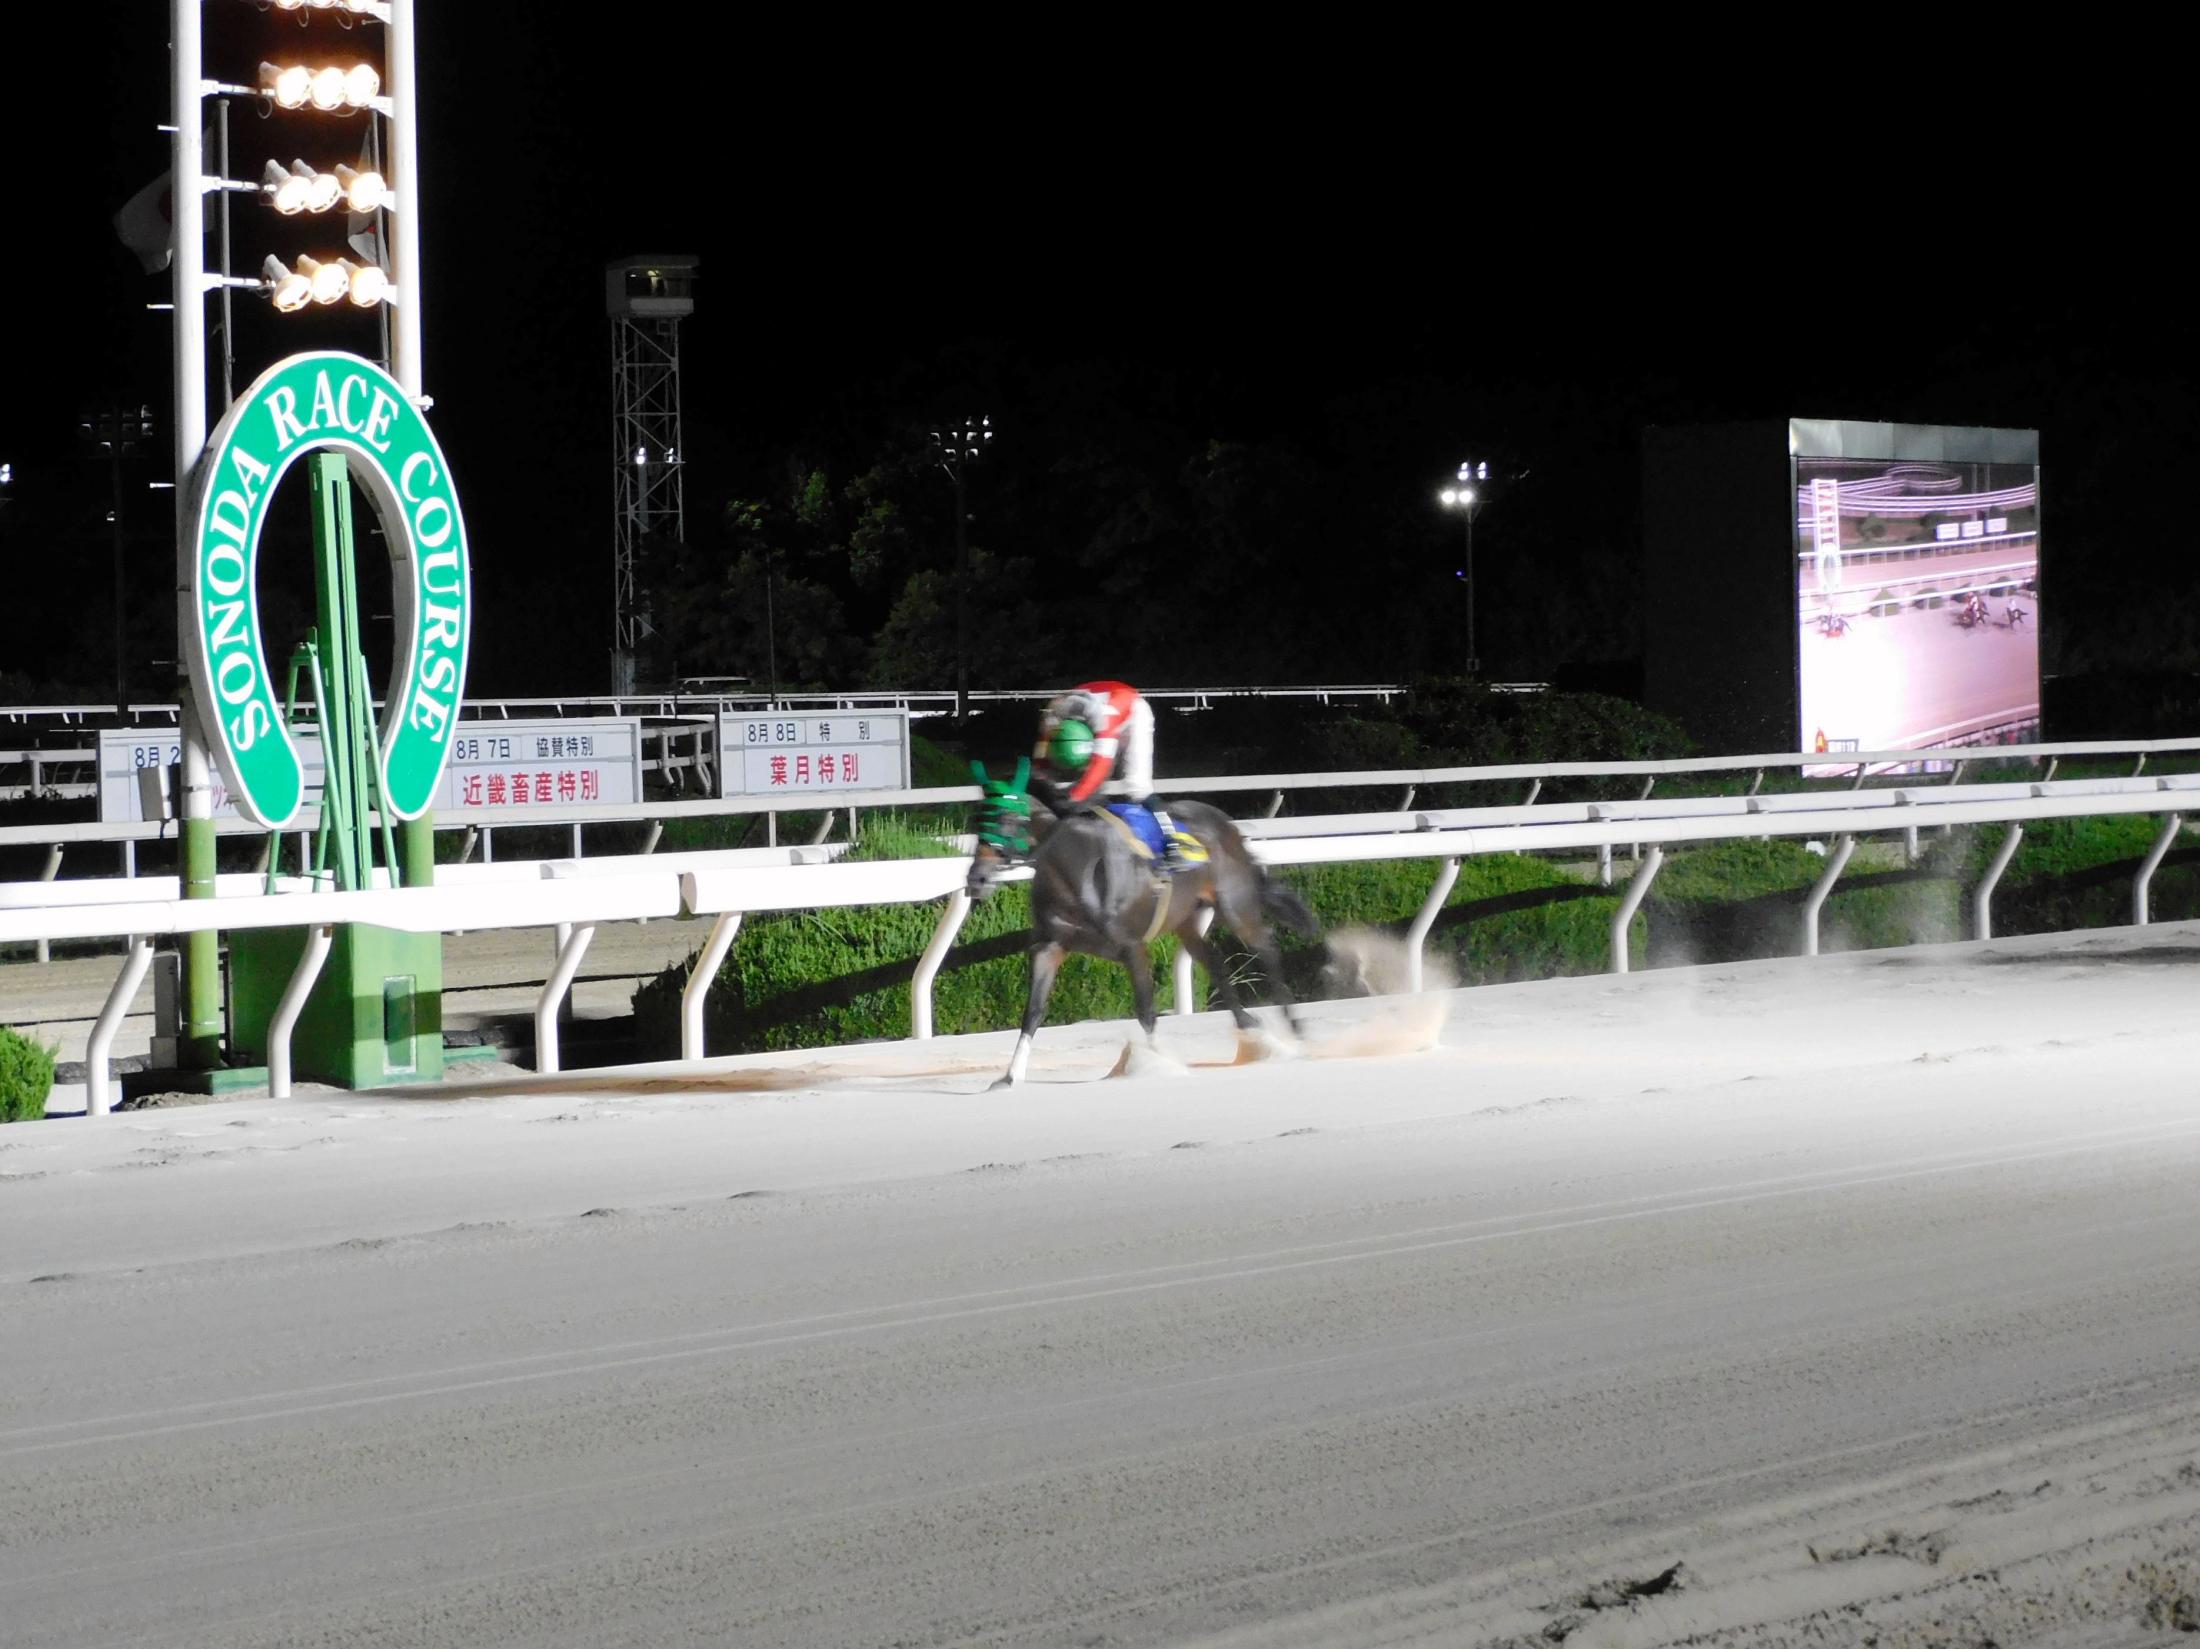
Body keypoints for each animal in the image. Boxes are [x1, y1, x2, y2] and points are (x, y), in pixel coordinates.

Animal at [968, 769, 1311, 1090]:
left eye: (1007, 817)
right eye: (977, 818)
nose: (976, 879)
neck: (1076, 868)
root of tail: (1227, 824)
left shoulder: (1133, 947)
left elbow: (1146, 1010)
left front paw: (1163, 1064)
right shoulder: (1049, 947)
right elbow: (1033, 1012)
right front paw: (1009, 1077)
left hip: (1235, 906)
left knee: (1266, 946)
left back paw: (1294, 1032)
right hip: (1188, 920)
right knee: (1214, 962)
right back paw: (1252, 1032)